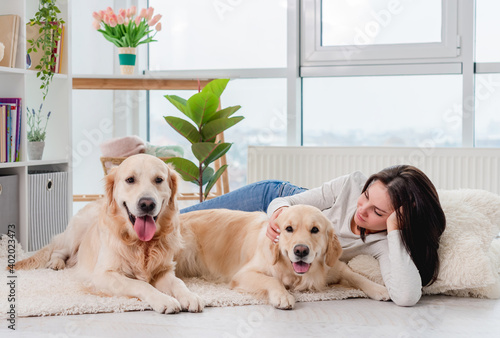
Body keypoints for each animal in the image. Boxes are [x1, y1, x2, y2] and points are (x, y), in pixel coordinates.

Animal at [15, 154, 203, 312]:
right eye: (130, 180)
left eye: (159, 180)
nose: (147, 204)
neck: (140, 244)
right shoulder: (103, 275)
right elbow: (141, 285)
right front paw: (164, 300)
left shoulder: (164, 270)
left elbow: (178, 282)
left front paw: (190, 296)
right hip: (76, 231)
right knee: (58, 250)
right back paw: (56, 263)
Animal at [176, 205, 390, 310]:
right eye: (289, 229)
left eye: (315, 230)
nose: (301, 250)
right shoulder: (243, 275)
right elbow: (272, 280)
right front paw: (282, 296)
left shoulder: (335, 267)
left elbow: (356, 275)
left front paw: (379, 289)